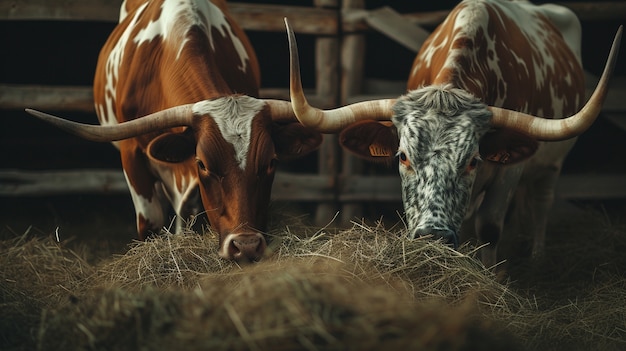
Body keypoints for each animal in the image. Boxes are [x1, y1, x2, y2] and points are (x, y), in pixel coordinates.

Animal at [286, 0, 620, 266]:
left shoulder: (510, 171)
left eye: (473, 160)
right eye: (403, 157)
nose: (434, 236)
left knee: (542, 202)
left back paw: (536, 257)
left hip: (552, 164)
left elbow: (490, 226)